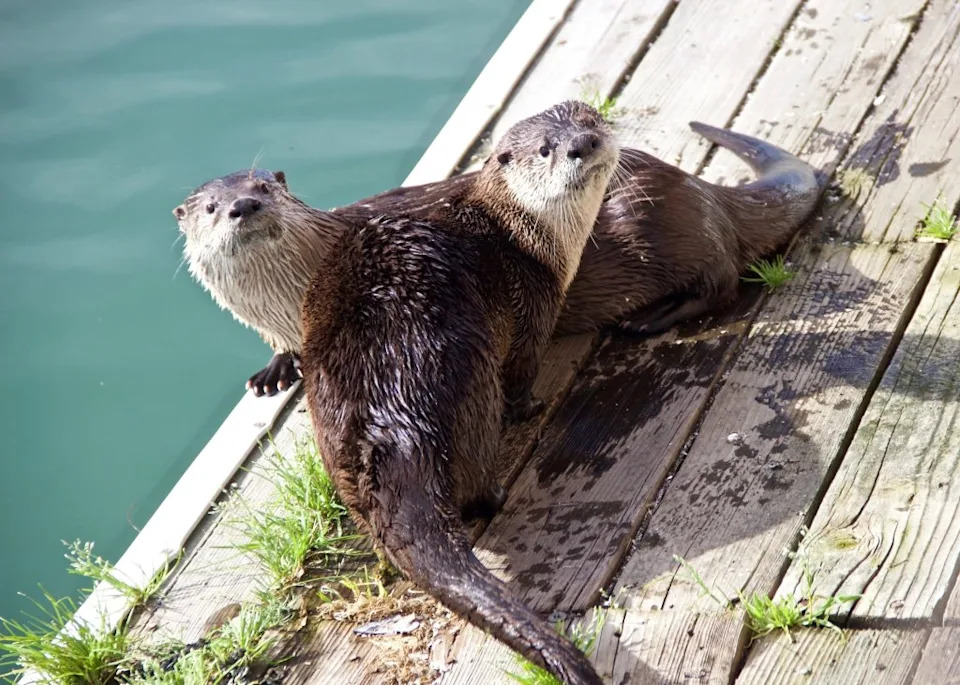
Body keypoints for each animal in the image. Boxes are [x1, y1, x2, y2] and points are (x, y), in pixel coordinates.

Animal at [175, 122, 821, 397]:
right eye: (210, 207)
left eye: (265, 185)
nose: (244, 206)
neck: (289, 299)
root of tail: (700, 187)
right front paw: (274, 369)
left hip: (659, 221)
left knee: (724, 282)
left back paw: (648, 318)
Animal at [298, 101, 617, 684]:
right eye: (546, 149)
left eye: (588, 119)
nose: (582, 143)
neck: (522, 234)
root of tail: (396, 427)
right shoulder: (533, 301)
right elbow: (524, 371)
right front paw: (530, 405)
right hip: (471, 385)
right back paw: (494, 492)